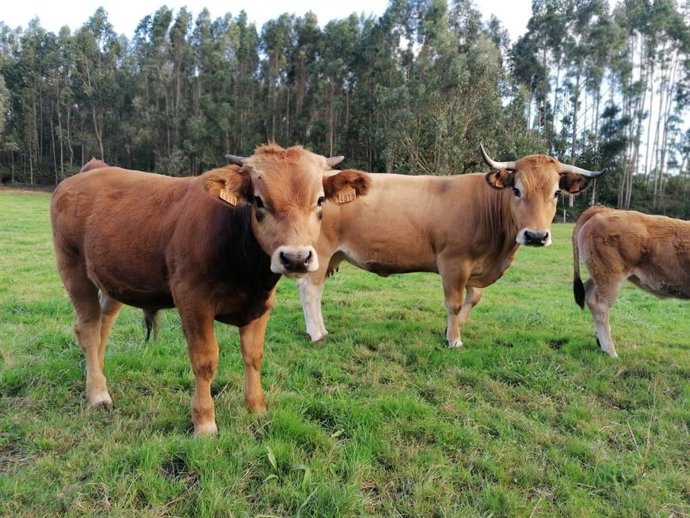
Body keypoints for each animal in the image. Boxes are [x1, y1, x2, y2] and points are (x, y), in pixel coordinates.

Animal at [51, 144, 371, 435]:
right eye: (258, 201)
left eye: (320, 200)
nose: (295, 257)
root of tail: (93, 169)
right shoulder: (193, 301)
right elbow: (205, 360)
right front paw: (204, 422)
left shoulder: (262, 304)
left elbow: (253, 355)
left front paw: (256, 407)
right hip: (73, 268)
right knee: (88, 328)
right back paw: (98, 393)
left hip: (113, 279)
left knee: (103, 327)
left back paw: (96, 374)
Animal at [298, 145, 604, 348]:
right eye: (517, 190)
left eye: (556, 192)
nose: (536, 236)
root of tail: (325, 179)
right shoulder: (454, 262)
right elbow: (454, 303)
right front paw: (454, 339)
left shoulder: (475, 267)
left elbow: (474, 297)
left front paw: (452, 329)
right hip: (319, 253)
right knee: (309, 289)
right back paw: (317, 333)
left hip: (331, 257)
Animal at [572, 206, 690, 358]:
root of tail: (603, 209)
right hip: (610, 277)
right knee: (599, 306)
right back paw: (610, 352)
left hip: (597, 275)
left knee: (588, 291)